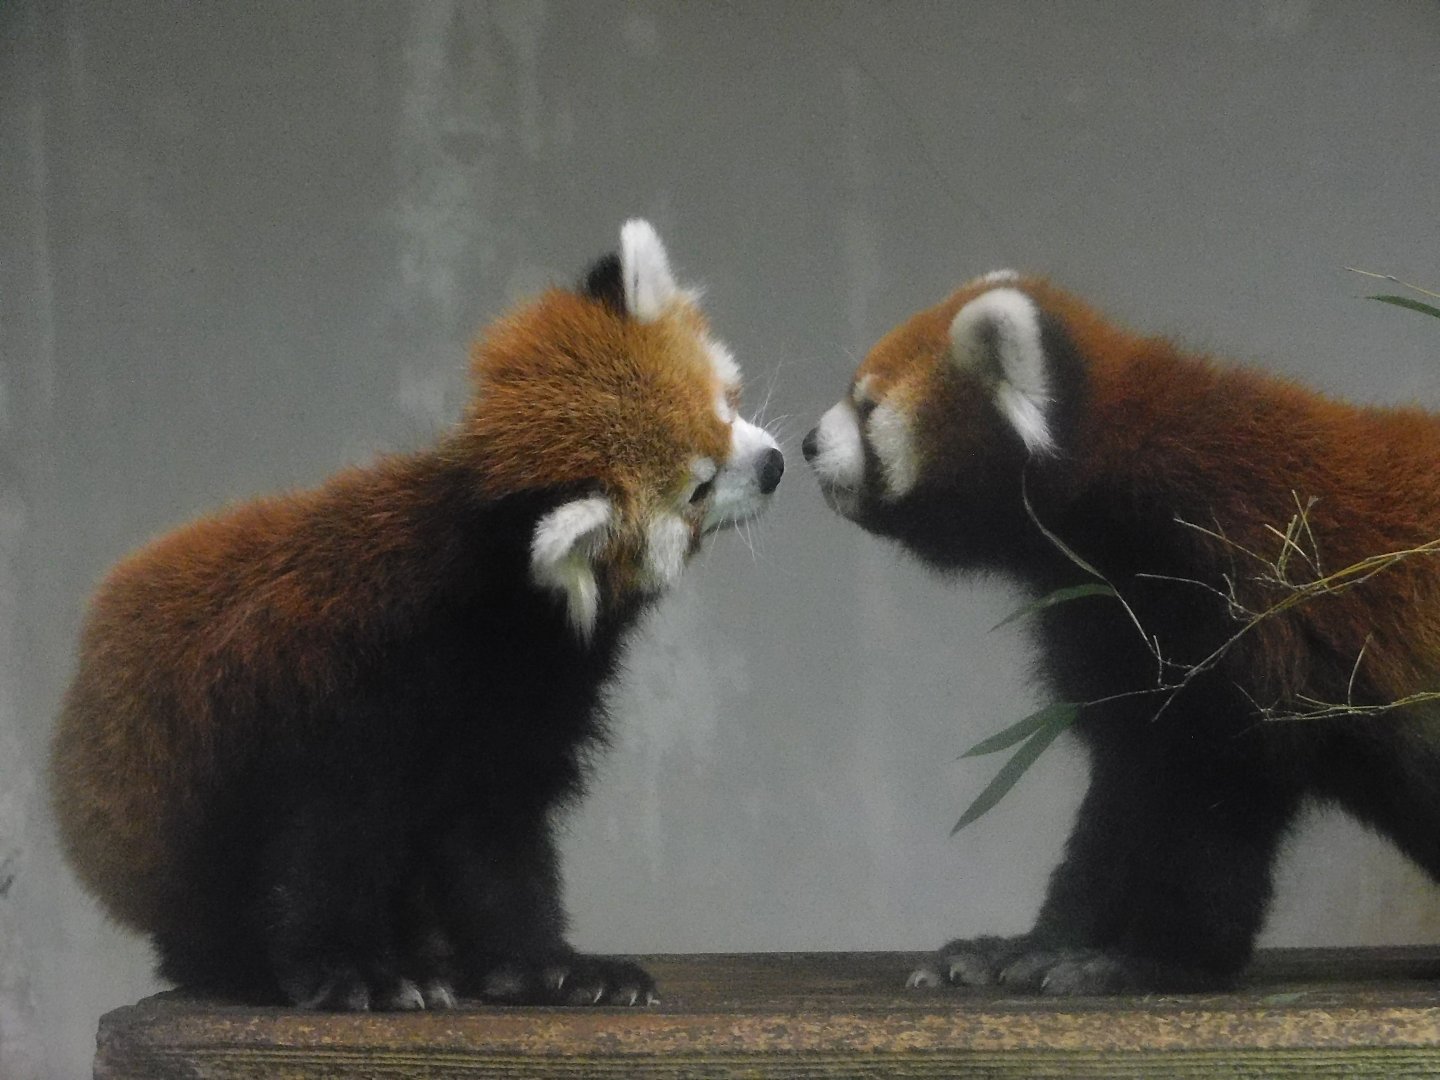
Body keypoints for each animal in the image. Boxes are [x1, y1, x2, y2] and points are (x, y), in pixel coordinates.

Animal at [51, 220, 784, 1011]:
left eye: (724, 408)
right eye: (697, 490)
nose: (774, 464)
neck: (493, 601)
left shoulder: (512, 713)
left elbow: (492, 841)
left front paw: (546, 967)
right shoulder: (347, 694)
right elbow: (325, 843)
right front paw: (353, 972)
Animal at [803, 271, 1440, 995]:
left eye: (868, 406)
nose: (807, 443)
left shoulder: (1229, 599)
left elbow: (1215, 803)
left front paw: (1154, 961)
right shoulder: (1107, 626)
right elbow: (1120, 803)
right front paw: (1029, 946)